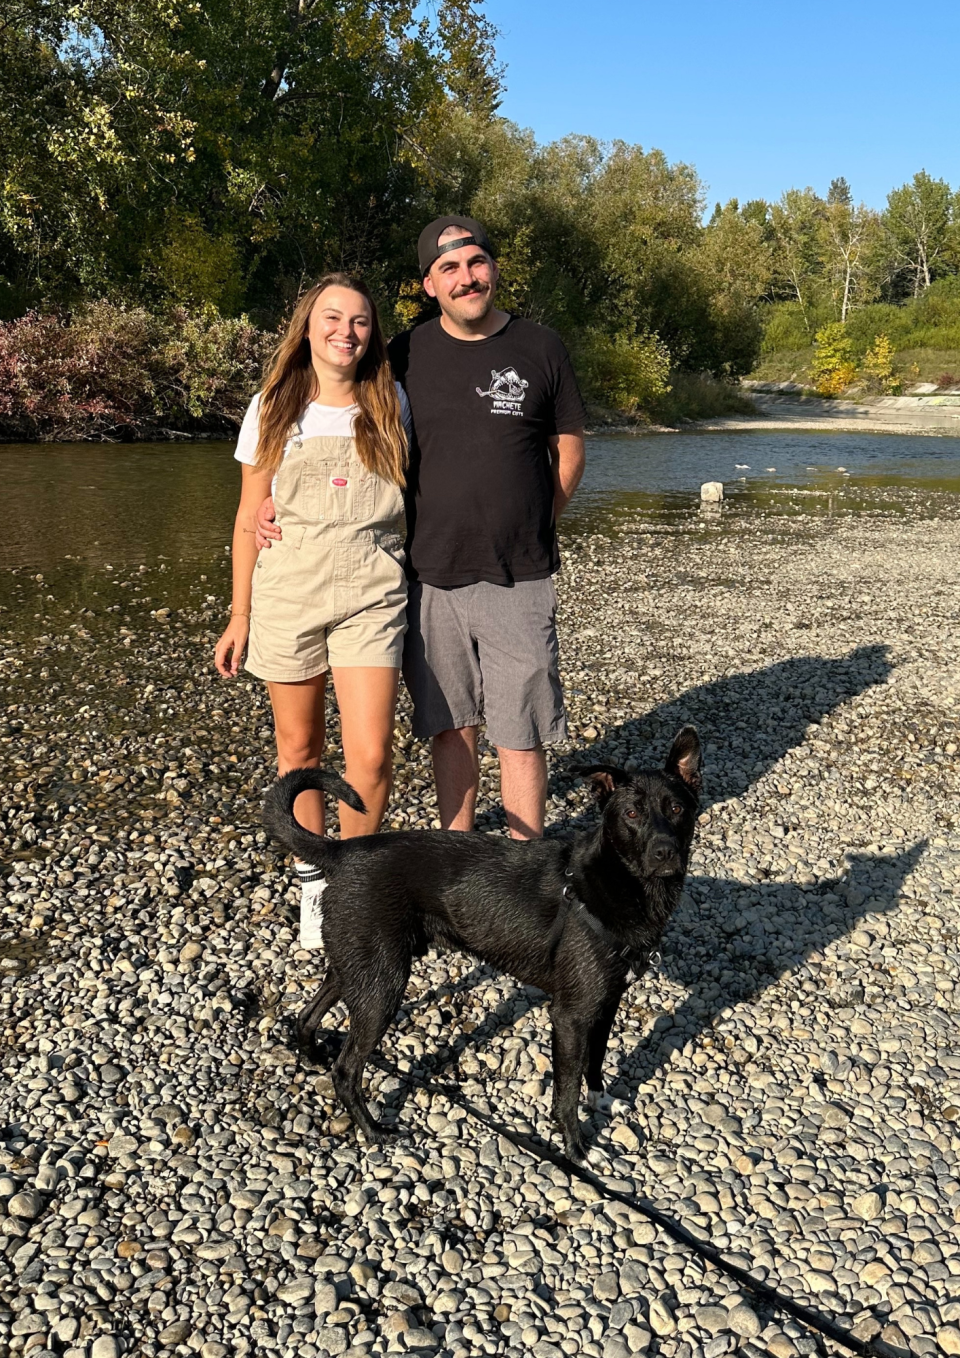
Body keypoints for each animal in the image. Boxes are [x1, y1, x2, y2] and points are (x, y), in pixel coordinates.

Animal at [266, 727, 700, 1162]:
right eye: (631, 815)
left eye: (677, 808)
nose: (664, 852)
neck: (618, 882)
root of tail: (341, 851)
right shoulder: (571, 1016)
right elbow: (566, 1092)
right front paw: (577, 1150)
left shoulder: (607, 1002)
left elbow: (595, 1061)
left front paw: (601, 1100)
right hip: (382, 986)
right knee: (346, 1070)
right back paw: (373, 1130)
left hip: (358, 967)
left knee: (306, 1017)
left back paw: (314, 1056)